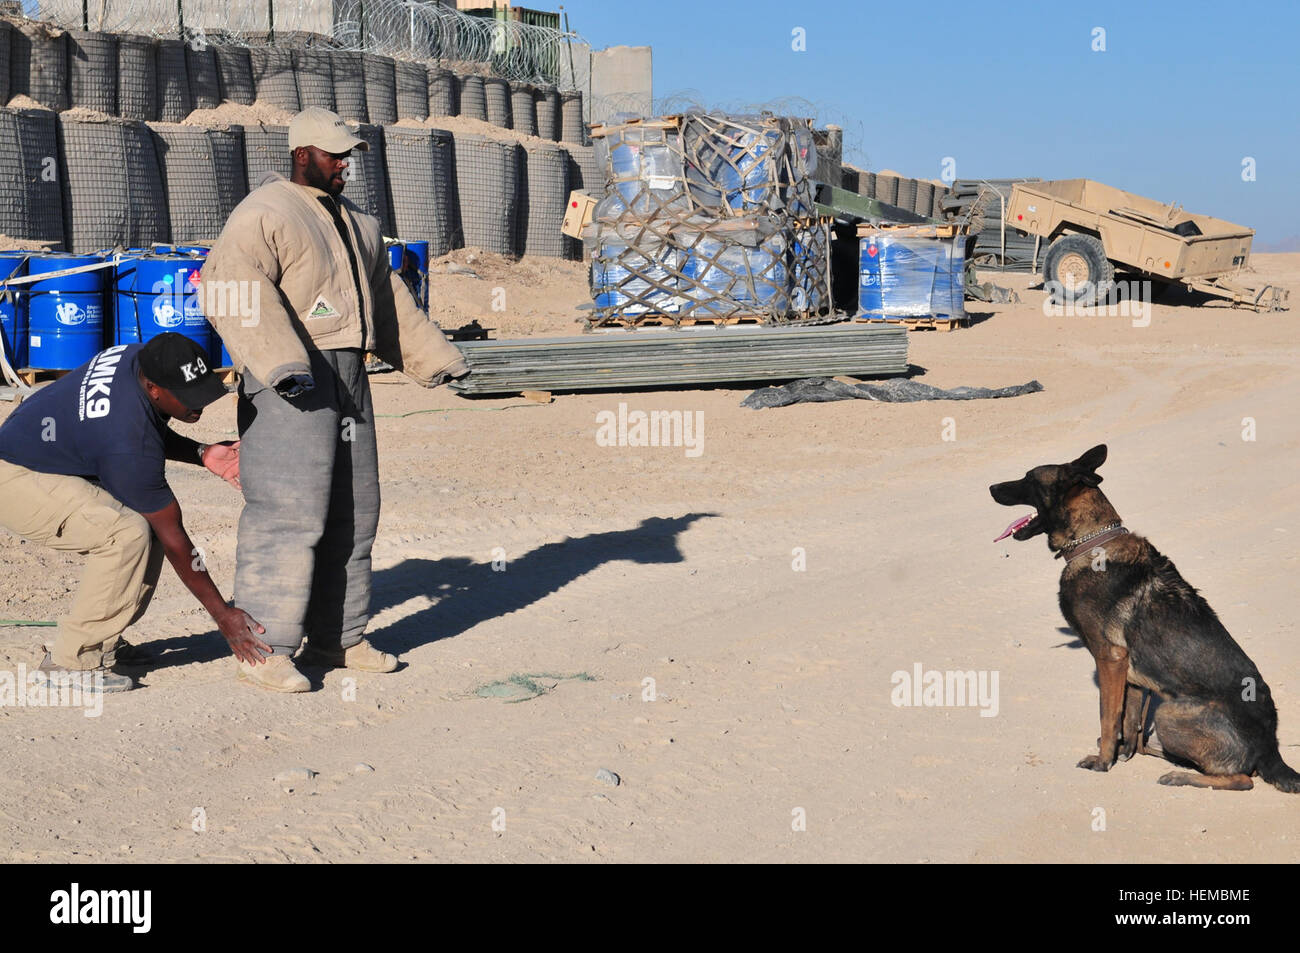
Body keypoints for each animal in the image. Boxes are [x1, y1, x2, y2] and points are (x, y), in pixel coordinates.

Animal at [987, 447, 1294, 790]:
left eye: (1028, 478)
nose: (991, 488)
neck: (1091, 541)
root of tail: (1270, 747)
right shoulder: (1131, 676)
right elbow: (1129, 721)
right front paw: (1122, 752)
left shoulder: (1110, 658)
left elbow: (1108, 717)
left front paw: (1103, 761)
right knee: (1153, 745)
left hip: (1169, 714)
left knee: (1242, 779)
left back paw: (1179, 774)